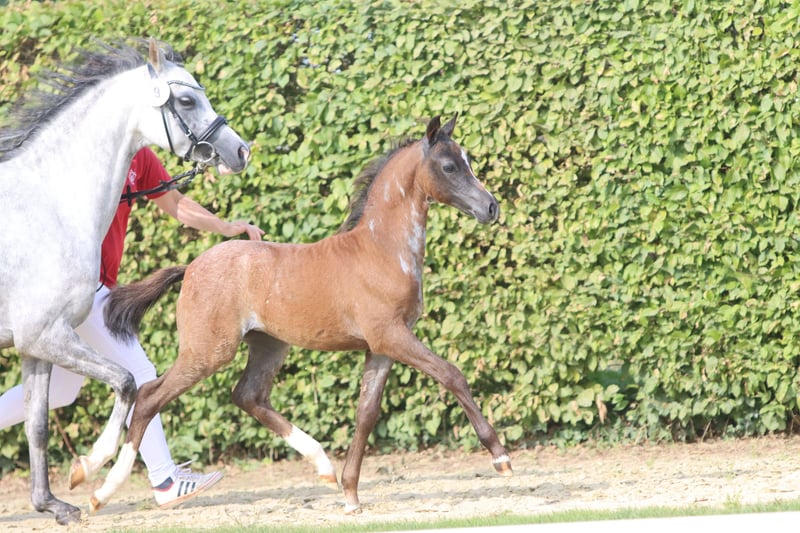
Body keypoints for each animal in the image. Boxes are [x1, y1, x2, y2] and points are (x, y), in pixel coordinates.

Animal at [100, 114, 512, 514]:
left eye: (468, 160)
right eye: (449, 166)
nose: (491, 207)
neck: (381, 249)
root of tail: (190, 268)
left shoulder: (381, 347)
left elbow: (366, 413)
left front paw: (350, 494)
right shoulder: (392, 336)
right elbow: (452, 375)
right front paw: (500, 458)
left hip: (268, 345)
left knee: (248, 395)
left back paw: (324, 467)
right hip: (208, 352)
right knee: (149, 396)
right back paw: (102, 490)